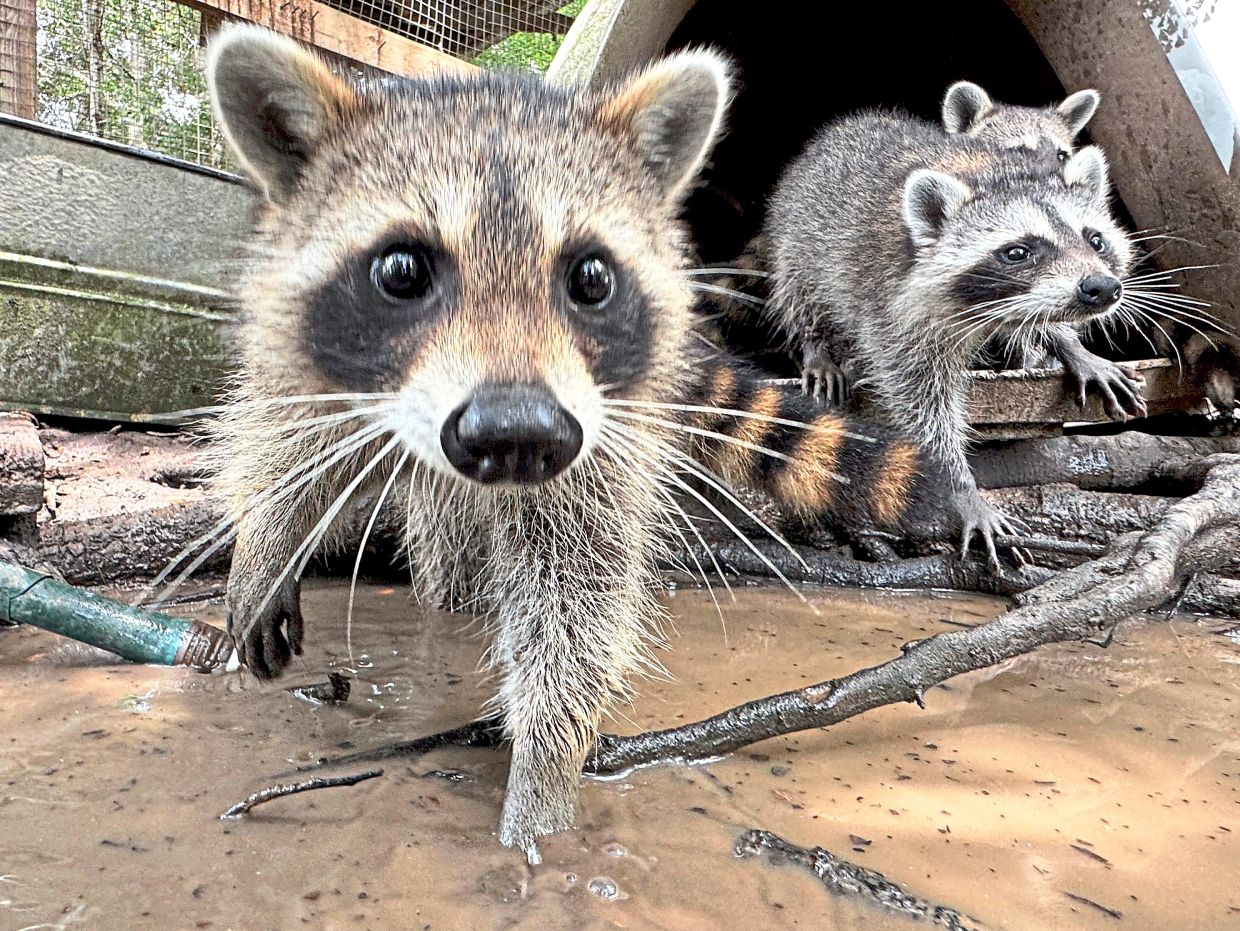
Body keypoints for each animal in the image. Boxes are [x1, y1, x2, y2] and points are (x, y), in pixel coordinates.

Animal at [204, 27, 953, 860]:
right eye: (401, 270)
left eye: (592, 278)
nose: (514, 435)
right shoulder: (304, 346)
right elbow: (284, 436)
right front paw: (266, 543)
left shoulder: (596, 433)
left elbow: (577, 582)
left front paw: (545, 768)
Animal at [766, 111, 1142, 558]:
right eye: (1018, 252)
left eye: (1095, 239)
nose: (1101, 288)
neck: (994, 175)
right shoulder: (892, 308)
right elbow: (924, 404)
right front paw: (959, 487)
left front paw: (1070, 344)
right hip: (799, 235)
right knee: (801, 289)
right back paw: (816, 346)